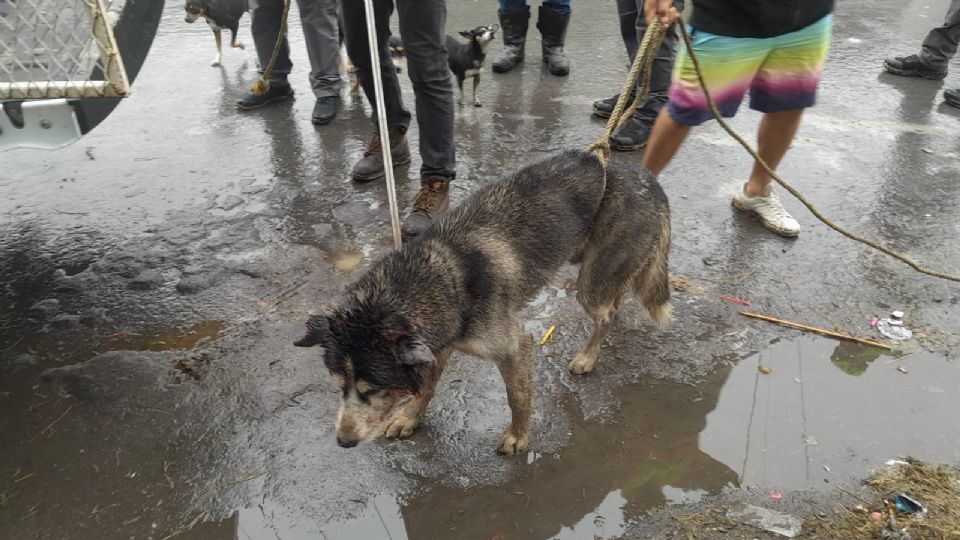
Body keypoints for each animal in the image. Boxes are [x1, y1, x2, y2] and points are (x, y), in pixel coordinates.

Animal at [296, 150, 672, 454]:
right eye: (340, 386)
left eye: (373, 389)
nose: (343, 442)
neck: (445, 275)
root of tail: (644, 176)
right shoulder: (437, 345)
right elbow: (426, 387)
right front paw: (411, 416)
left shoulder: (514, 347)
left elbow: (517, 396)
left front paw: (518, 435)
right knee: (615, 302)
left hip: (590, 284)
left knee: (605, 313)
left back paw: (588, 356)